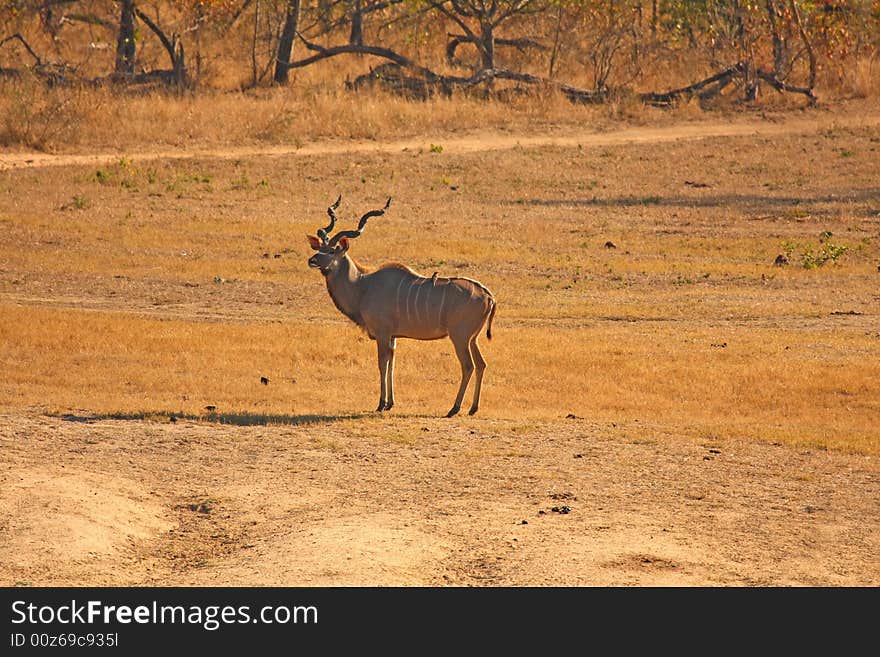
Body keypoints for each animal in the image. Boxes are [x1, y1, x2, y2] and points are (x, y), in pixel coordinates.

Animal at [306, 195, 496, 416]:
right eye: (319, 248)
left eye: (331, 250)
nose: (312, 260)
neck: (363, 285)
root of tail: (488, 295)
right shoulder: (393, 337)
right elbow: (392, 364)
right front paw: (390, 403)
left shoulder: (382, 333)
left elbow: (382, 363)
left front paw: (381, 404)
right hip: (472, 338)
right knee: (481, 364)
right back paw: (473, 408)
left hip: (460, 337)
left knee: (468, 366)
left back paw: (454, 408)